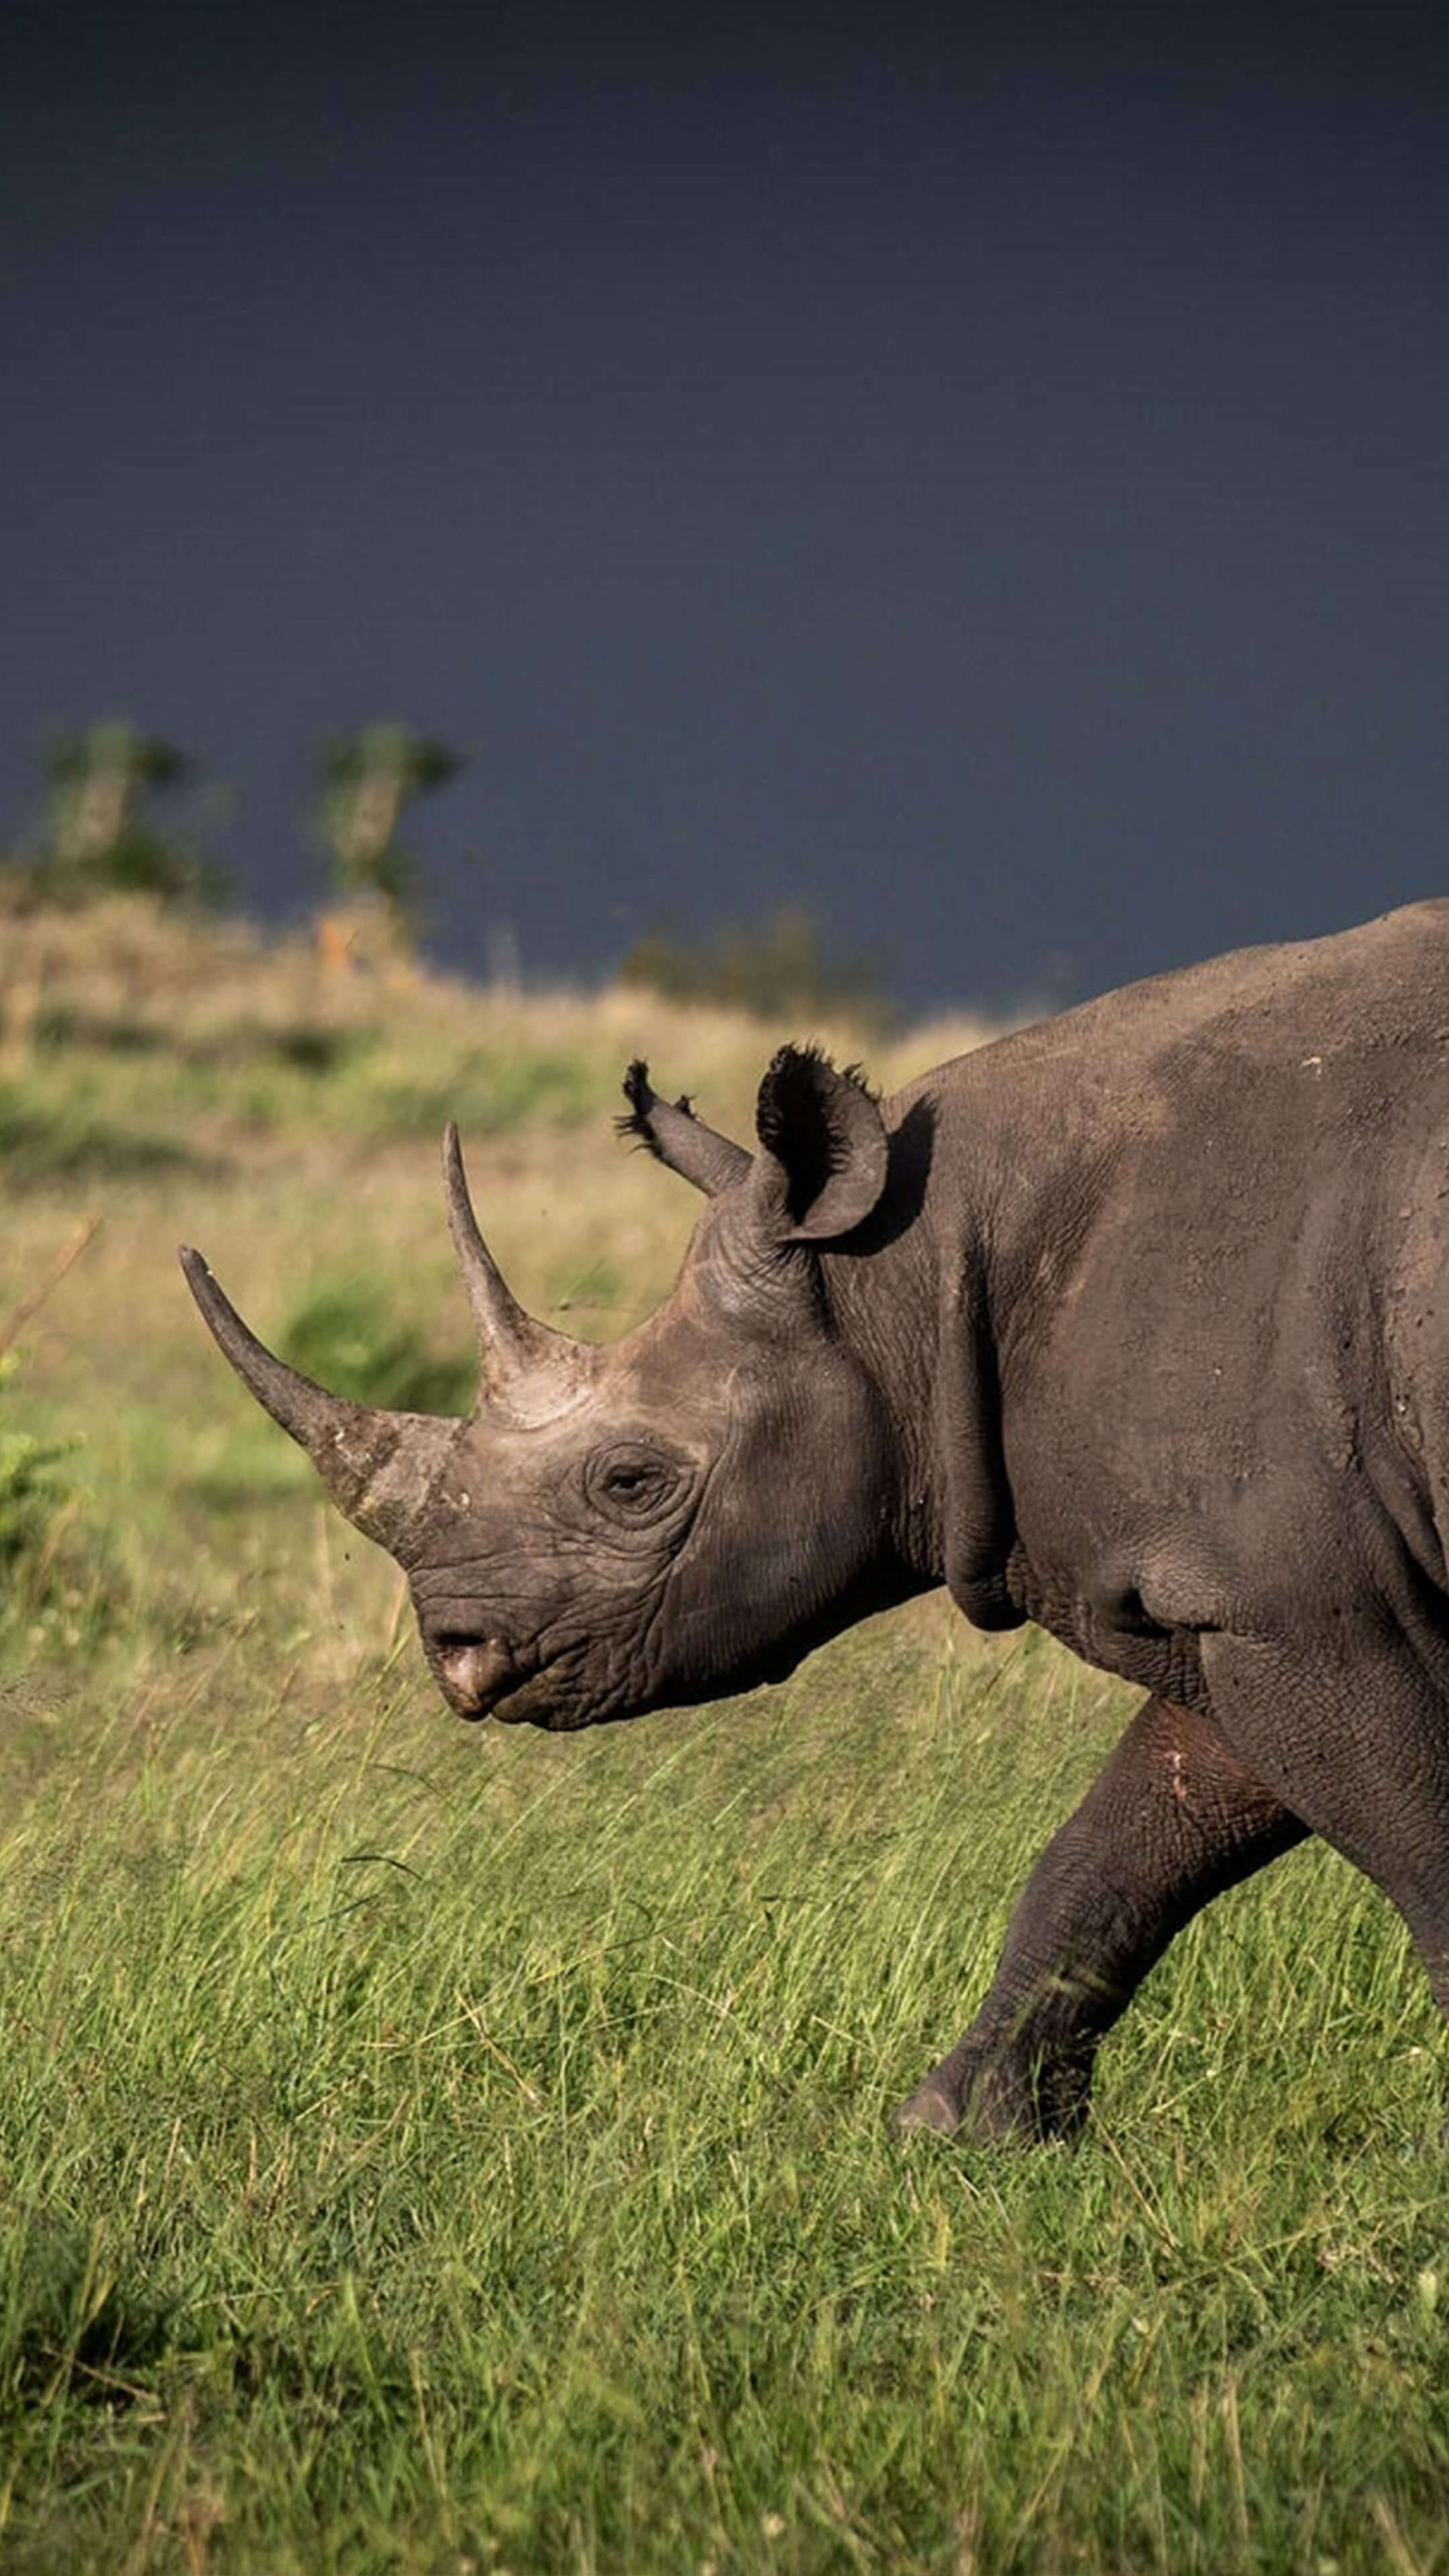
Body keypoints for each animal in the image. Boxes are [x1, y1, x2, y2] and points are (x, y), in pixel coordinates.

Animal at [181, 900, 1449, 2141]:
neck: (906, 1267)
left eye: (631, 1484)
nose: (456, 1653)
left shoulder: (1293, 1598)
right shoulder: (1249, 1586)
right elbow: (1132, 1837)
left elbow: (1409, 1851)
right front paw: (960, 2135)